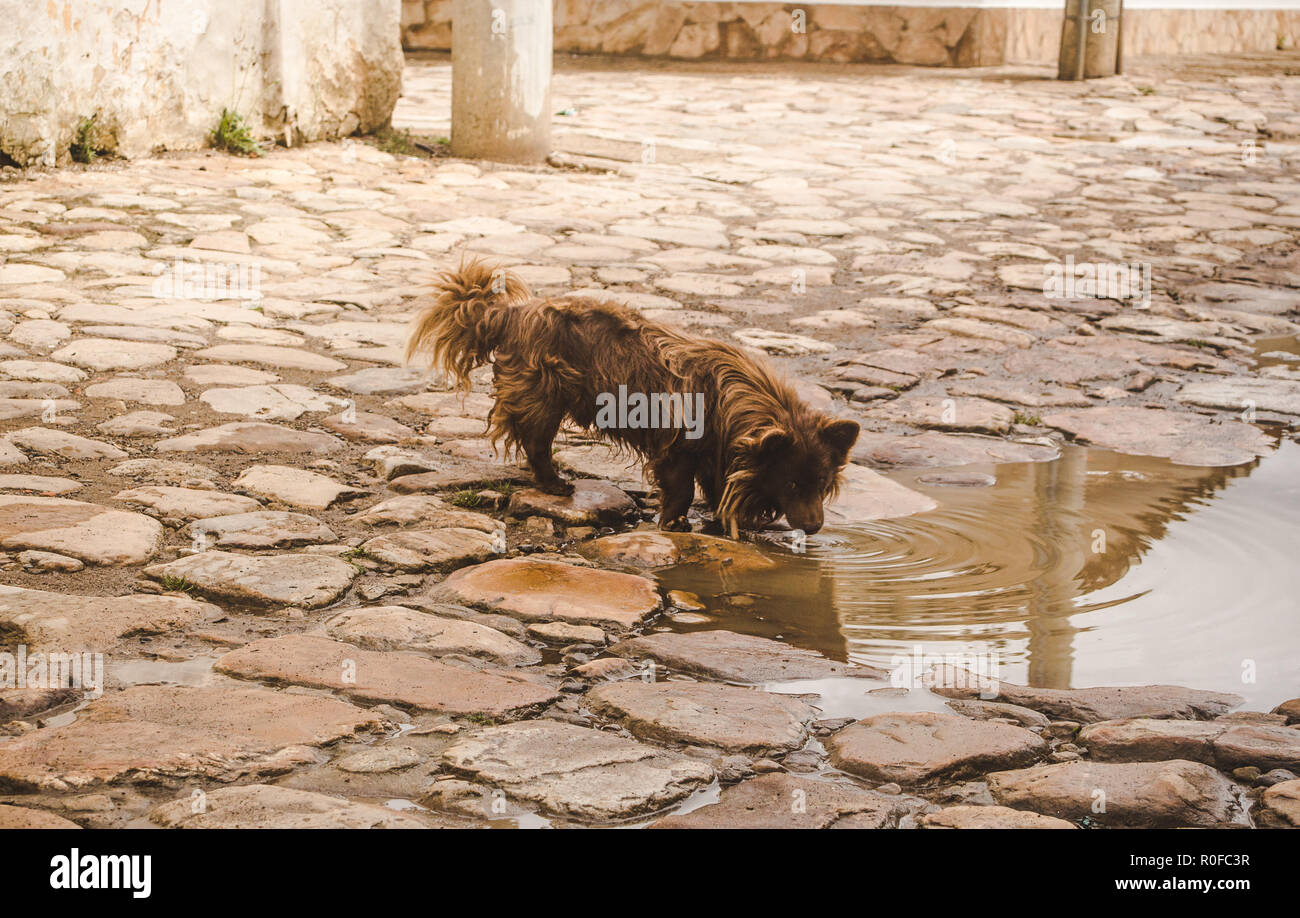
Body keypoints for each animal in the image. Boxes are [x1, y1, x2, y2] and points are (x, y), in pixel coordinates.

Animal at [400, 257, 857, 533]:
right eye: (792, 483)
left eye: (822, 483)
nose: (815, 527)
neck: (732, 402)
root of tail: (510, 313)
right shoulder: (677, 447)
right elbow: (681, 489)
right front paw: (675, 523)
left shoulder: (718, 450)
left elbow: (715, 484)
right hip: (544, 396)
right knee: (536, 442)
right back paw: (554, 484)